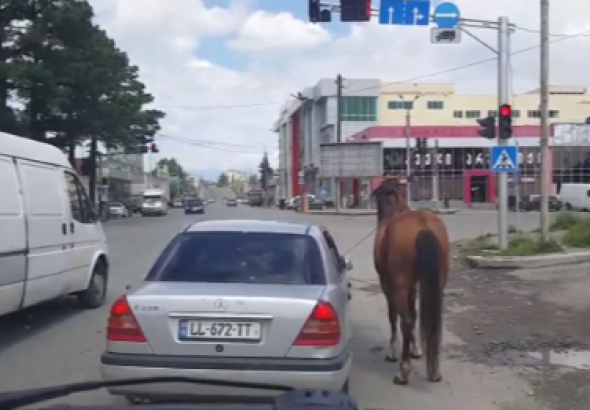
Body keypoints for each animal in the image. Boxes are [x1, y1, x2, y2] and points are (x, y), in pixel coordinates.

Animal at [372, 178, 450, 386]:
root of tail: (423, 226)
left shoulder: (387, 283)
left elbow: (394, 315)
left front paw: (392, 351)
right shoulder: (413, 285)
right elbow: (414, 313)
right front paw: (416, 349)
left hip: (399, 285)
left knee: (404, 321)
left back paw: (403, 371)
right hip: (438, 281)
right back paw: (434, 370)